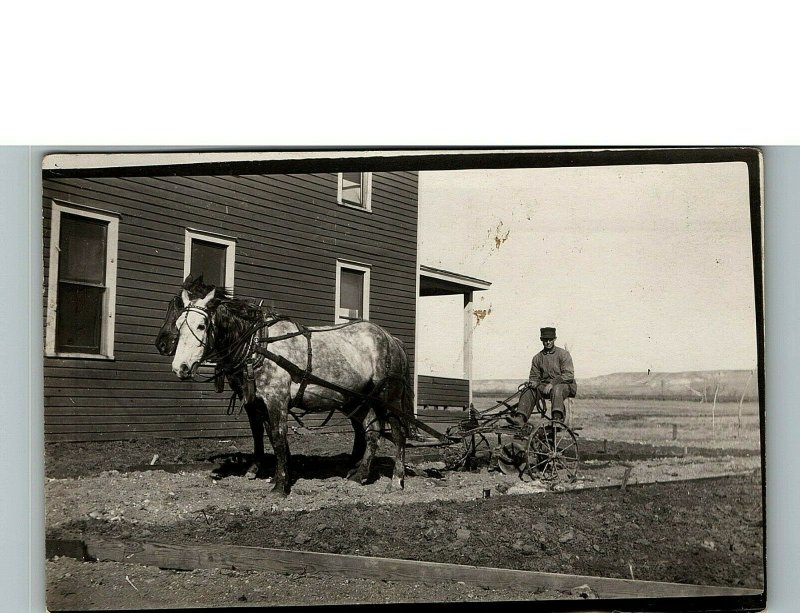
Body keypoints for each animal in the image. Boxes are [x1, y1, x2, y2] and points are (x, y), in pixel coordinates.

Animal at [155, 278, 412, 498]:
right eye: (179, 324)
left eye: (201, 325)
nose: (180, 366)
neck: (257, 344)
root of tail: (392, 339)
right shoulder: (258, 401)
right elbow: (265, 435)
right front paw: (277, 474)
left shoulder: (276, 399)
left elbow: (278, 438)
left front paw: (280, 485)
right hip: (355, 399)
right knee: (372, 430)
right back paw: (359, 474)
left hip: (388, 398)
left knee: (397, 434)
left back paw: (396, 480)